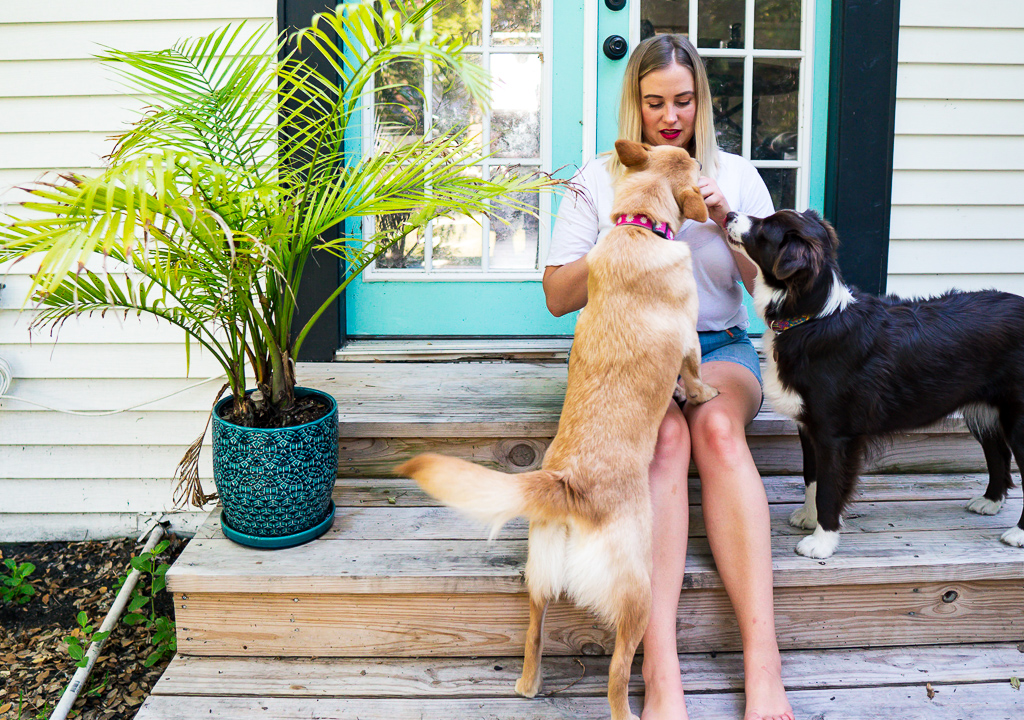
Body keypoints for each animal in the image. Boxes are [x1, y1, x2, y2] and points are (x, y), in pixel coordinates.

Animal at [395, 141, 716, 720]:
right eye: (693, 164)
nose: (699, 152)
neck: (638, 228)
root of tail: (566, 485)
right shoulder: (691, 343)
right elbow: (697, 374)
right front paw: (702, 396)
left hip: (538, 580)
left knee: (533, 635)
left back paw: (528, 684)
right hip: (638, 590)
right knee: (617, 675)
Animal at [720, 206, 1024, 557]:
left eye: (765, 227)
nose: (728, 213)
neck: (813, 318)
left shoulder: (835, 433)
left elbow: (829, 487)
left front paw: (822, 541)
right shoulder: (809, 427)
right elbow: (812, 477)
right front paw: (810, 518)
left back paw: (1018, 533)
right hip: (986, 409)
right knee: (998, 453)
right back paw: (991, 501)